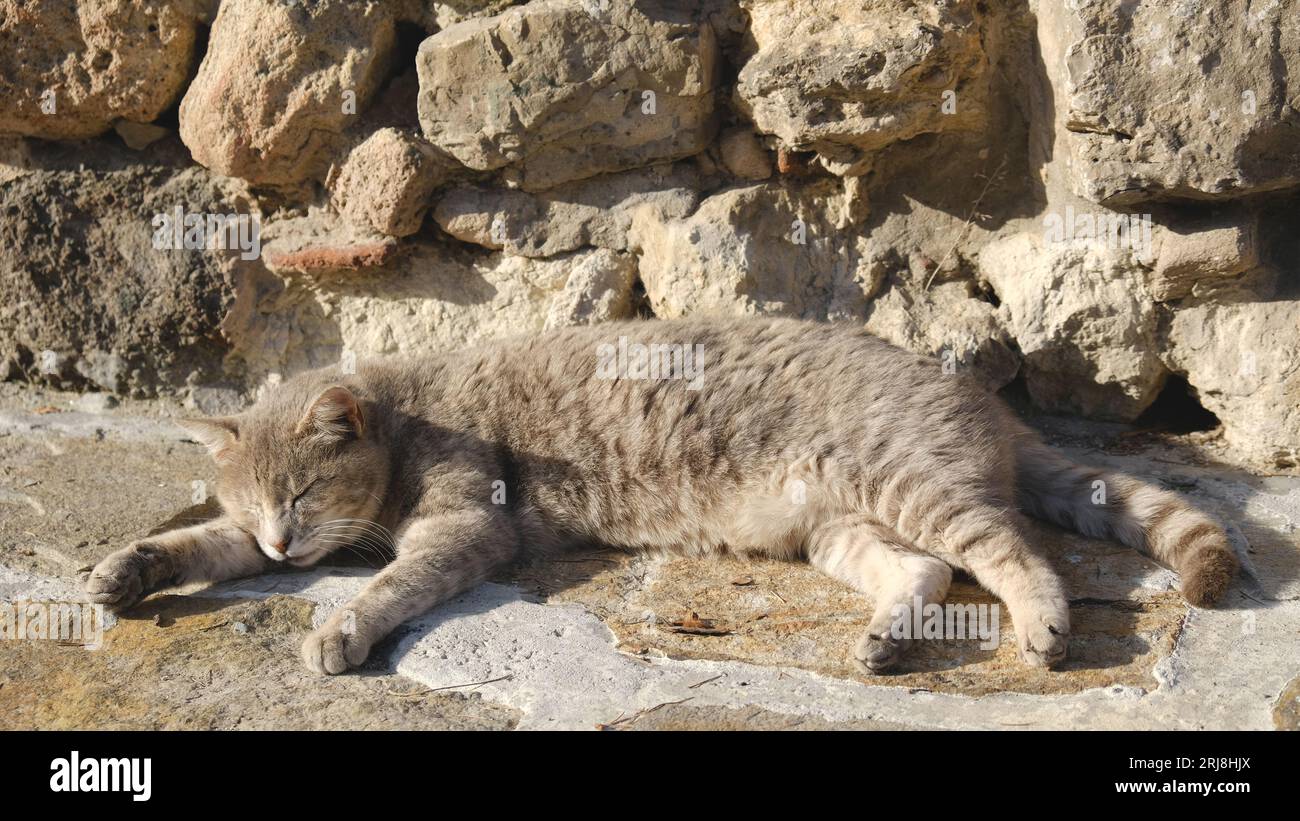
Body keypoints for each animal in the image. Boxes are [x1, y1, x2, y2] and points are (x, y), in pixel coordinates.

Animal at [83, 315, 1237, 675]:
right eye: (258, 502)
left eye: (307, 486)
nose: (284, 544)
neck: (412, 413)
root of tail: (978, 399)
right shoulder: (273, 542)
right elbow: (196, 544)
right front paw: (127, 566)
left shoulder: (461, 526)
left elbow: (389, 582)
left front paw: (340, 626)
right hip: (842, 529)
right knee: (922, 569)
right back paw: (882, 639)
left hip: (908, 482)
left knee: (1011, 550)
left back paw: (1041, 623)